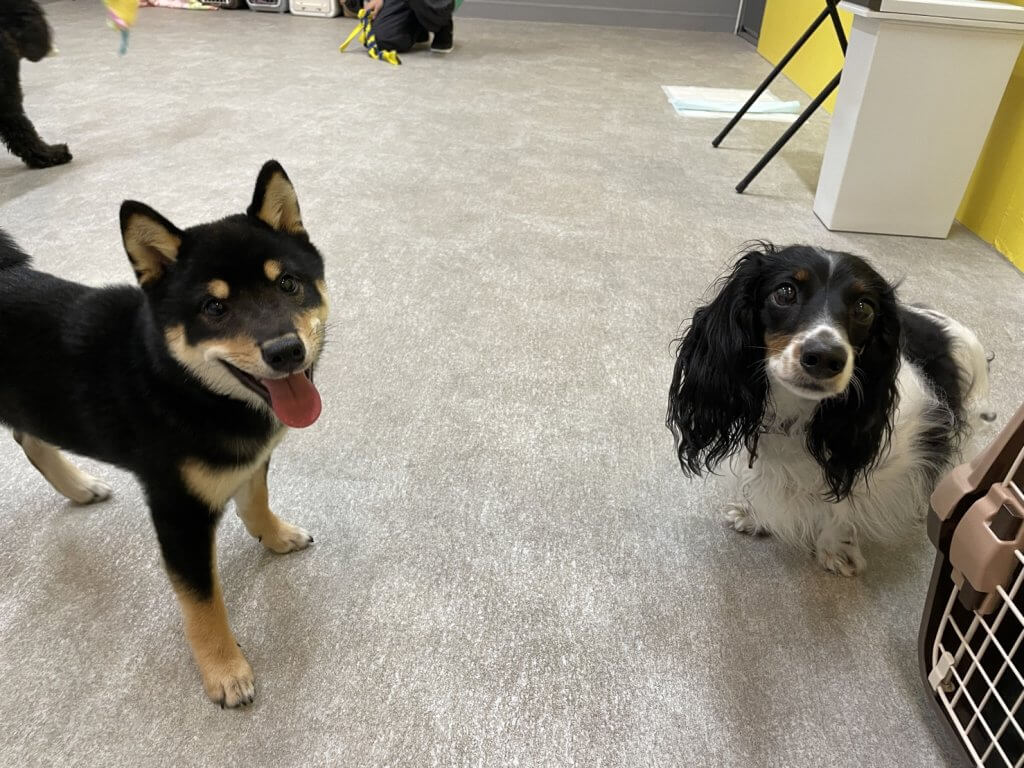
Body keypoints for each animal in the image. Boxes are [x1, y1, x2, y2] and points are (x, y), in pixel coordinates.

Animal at [0, 162, 325, 708]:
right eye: (214, 309)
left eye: (288, 284)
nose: (286, 351)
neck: (183, 385)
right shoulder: (178, 511)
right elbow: (203, 603)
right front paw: (225, 672)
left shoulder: (252, 460)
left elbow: (255, 500)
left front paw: (275, 535)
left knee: (33, 440)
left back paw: (80, 487)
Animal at [667, 246, 987, 577]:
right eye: (785, 292)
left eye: (863, 307)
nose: (824, 357)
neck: (797, 416)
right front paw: (753, 514)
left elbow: (842, 506)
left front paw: (836, 548)